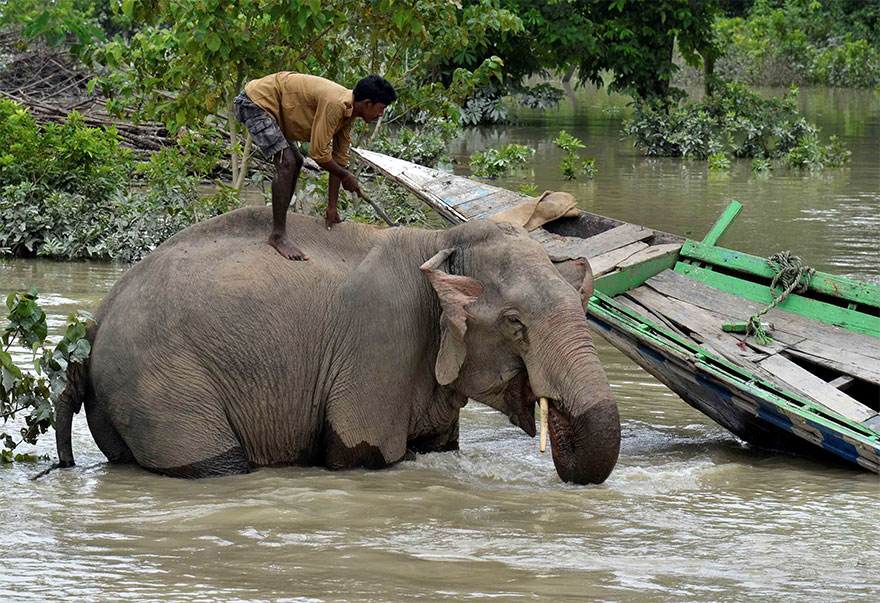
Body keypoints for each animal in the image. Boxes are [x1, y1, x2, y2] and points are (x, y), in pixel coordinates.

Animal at [55, 207, 620, 484]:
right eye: (515, 323)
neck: (440, 238)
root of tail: (94, 322)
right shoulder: (378, 344)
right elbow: (358, 454)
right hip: (161, 386)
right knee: (216, 465)